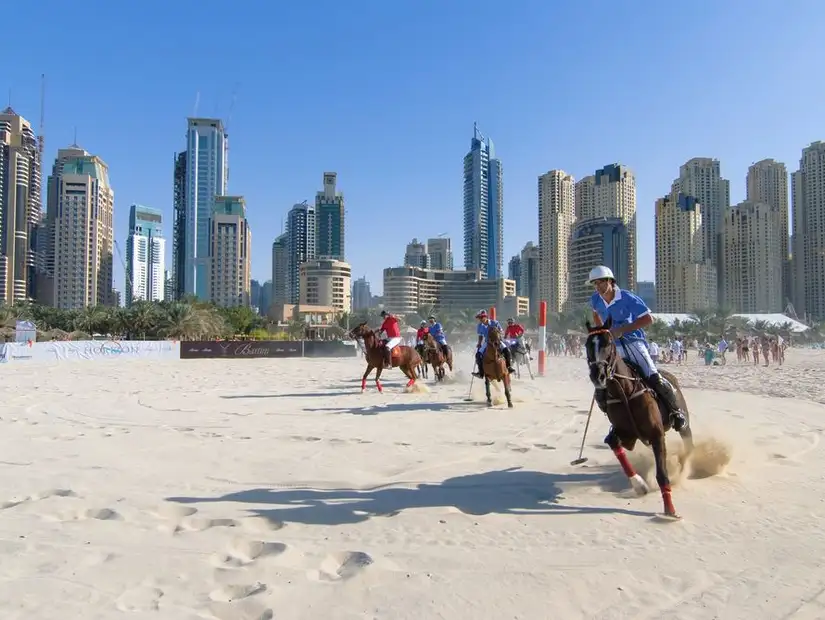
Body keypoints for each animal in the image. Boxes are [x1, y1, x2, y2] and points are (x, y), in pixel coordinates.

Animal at [584, 318, 692, 520]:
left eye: (608, 343)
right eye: (587, 345)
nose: (598, 376)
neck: (625, 391)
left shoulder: (657, 434)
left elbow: (662, 474)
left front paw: (670, 510)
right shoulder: (627, 435)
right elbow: (612, 442)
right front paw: (639, 485)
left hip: (683, 423)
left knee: (689, 442)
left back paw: (685, 467)